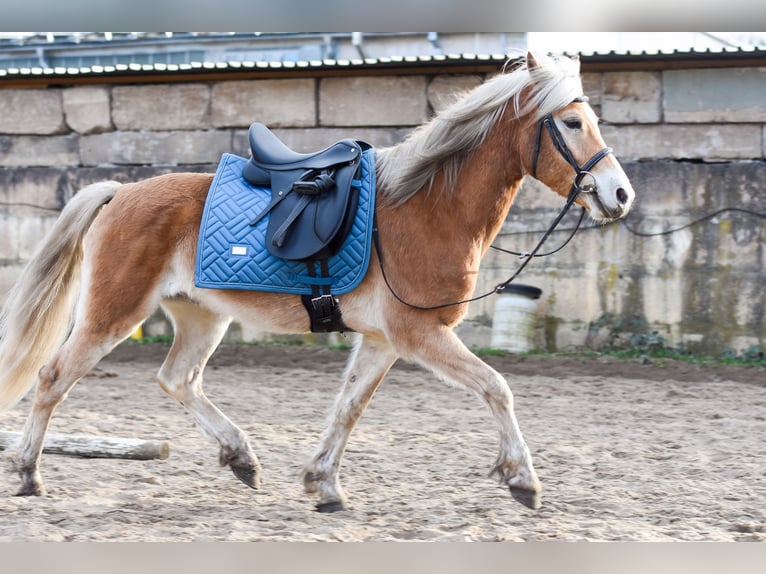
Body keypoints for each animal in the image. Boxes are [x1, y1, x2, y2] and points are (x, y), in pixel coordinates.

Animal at [0, 53, 636, 512]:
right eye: (573, 122)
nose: (621, 194)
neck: (426, 206)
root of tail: (119, 192)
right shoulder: (419, 334)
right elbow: (497, 387)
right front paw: (522, 480)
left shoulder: (383, 341)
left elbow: (348, 407)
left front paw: (322, 484)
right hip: (114, 313)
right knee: (53, 377)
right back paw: (29, 474)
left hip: (202, 317)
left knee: (178, 379)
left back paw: (241, 457)